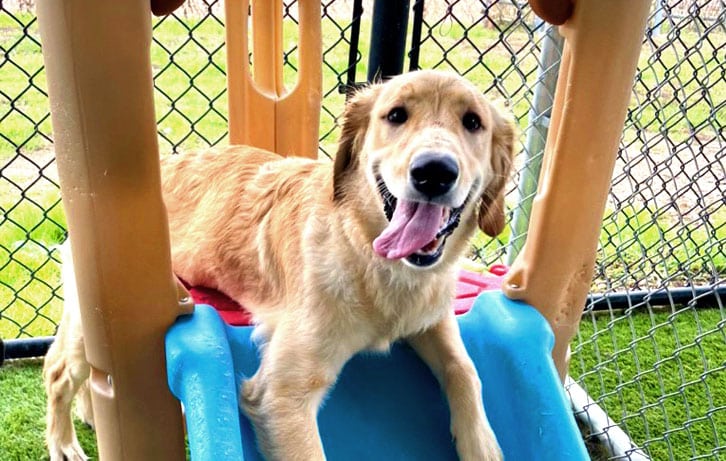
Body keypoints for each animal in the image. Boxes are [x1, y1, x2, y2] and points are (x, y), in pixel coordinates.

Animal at [44, 69, 516, 460]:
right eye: (396, 115)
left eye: (473, 122)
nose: (434, 172)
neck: (371, 258)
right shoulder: (280, 395)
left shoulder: (431, 318)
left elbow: (465, 369)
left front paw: (482, 444)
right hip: (96, 319)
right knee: (59, 370)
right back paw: (64, 443)